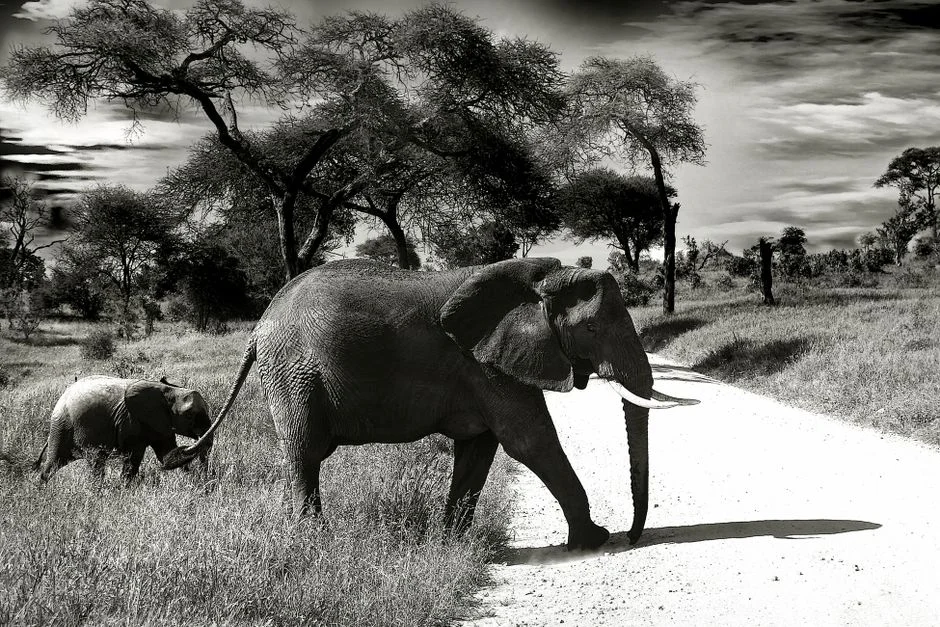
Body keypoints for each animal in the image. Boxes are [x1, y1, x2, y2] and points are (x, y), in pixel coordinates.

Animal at [36, 375, 212, 484]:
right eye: (189, 415)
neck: (168, 390)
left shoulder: (161, 423)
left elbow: (167, 455)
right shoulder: (131, 421)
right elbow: (134, 457)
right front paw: (125, 490)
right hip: (62, 425)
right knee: (63, 461)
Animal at [164, 258, 695, 550]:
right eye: (590, 328)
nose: (633, 535)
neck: (542, 278)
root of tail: (258, 327)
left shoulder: (484, 364)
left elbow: (481, 448)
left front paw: (451, 543)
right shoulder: (484, 363)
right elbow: (530, 442)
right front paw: (594, 541)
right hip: (293, 375)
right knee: (304, 453)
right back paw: (313, 538)